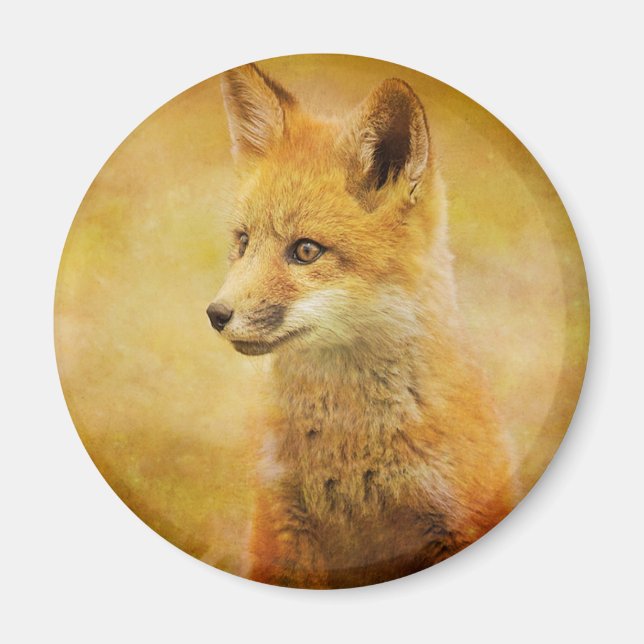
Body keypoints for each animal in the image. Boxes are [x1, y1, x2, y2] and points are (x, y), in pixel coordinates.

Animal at [206, 62, 517, 588]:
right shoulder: (280, 528)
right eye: (243, 242)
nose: (216, 314)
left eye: (306, 251)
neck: (350, 455)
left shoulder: (456, 519)